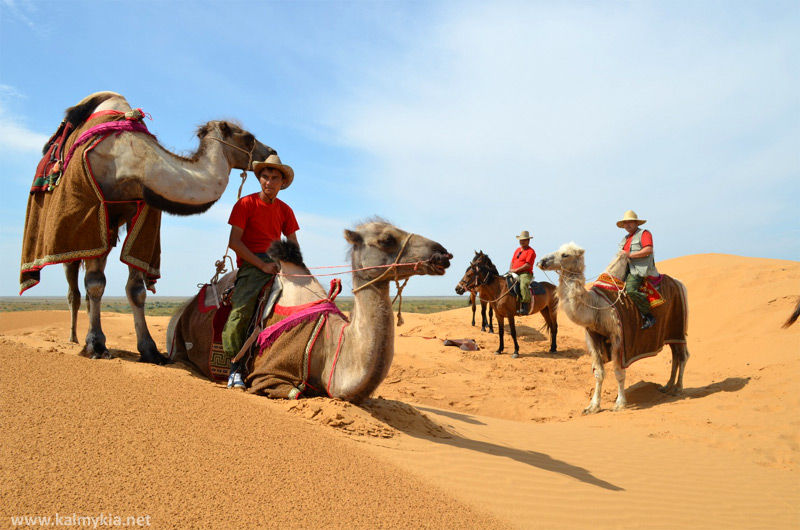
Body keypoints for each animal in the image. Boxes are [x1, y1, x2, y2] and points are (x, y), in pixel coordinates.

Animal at [20, 91, 276, 364]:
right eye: (248, 137)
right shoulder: (94, 211)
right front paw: (97, 345)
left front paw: (150, 350)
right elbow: (96, 283)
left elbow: (136, 289)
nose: (272, 151)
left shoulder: (142, 215)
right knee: (74, 288)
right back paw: (73, 338)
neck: (130, 160)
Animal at [536, 243, 688, 412]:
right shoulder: (593, 336)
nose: (542, 261)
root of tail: (679, 283)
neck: (595, 306)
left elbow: (618, 371)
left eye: (565, 255)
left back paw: (678, 389)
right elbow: (599, 372)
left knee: (682, 356)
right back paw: (667, 386)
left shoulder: (618, 337)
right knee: (675, 355)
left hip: (678, 326)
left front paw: (620, 403)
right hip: (670, 332)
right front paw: (593, 406)